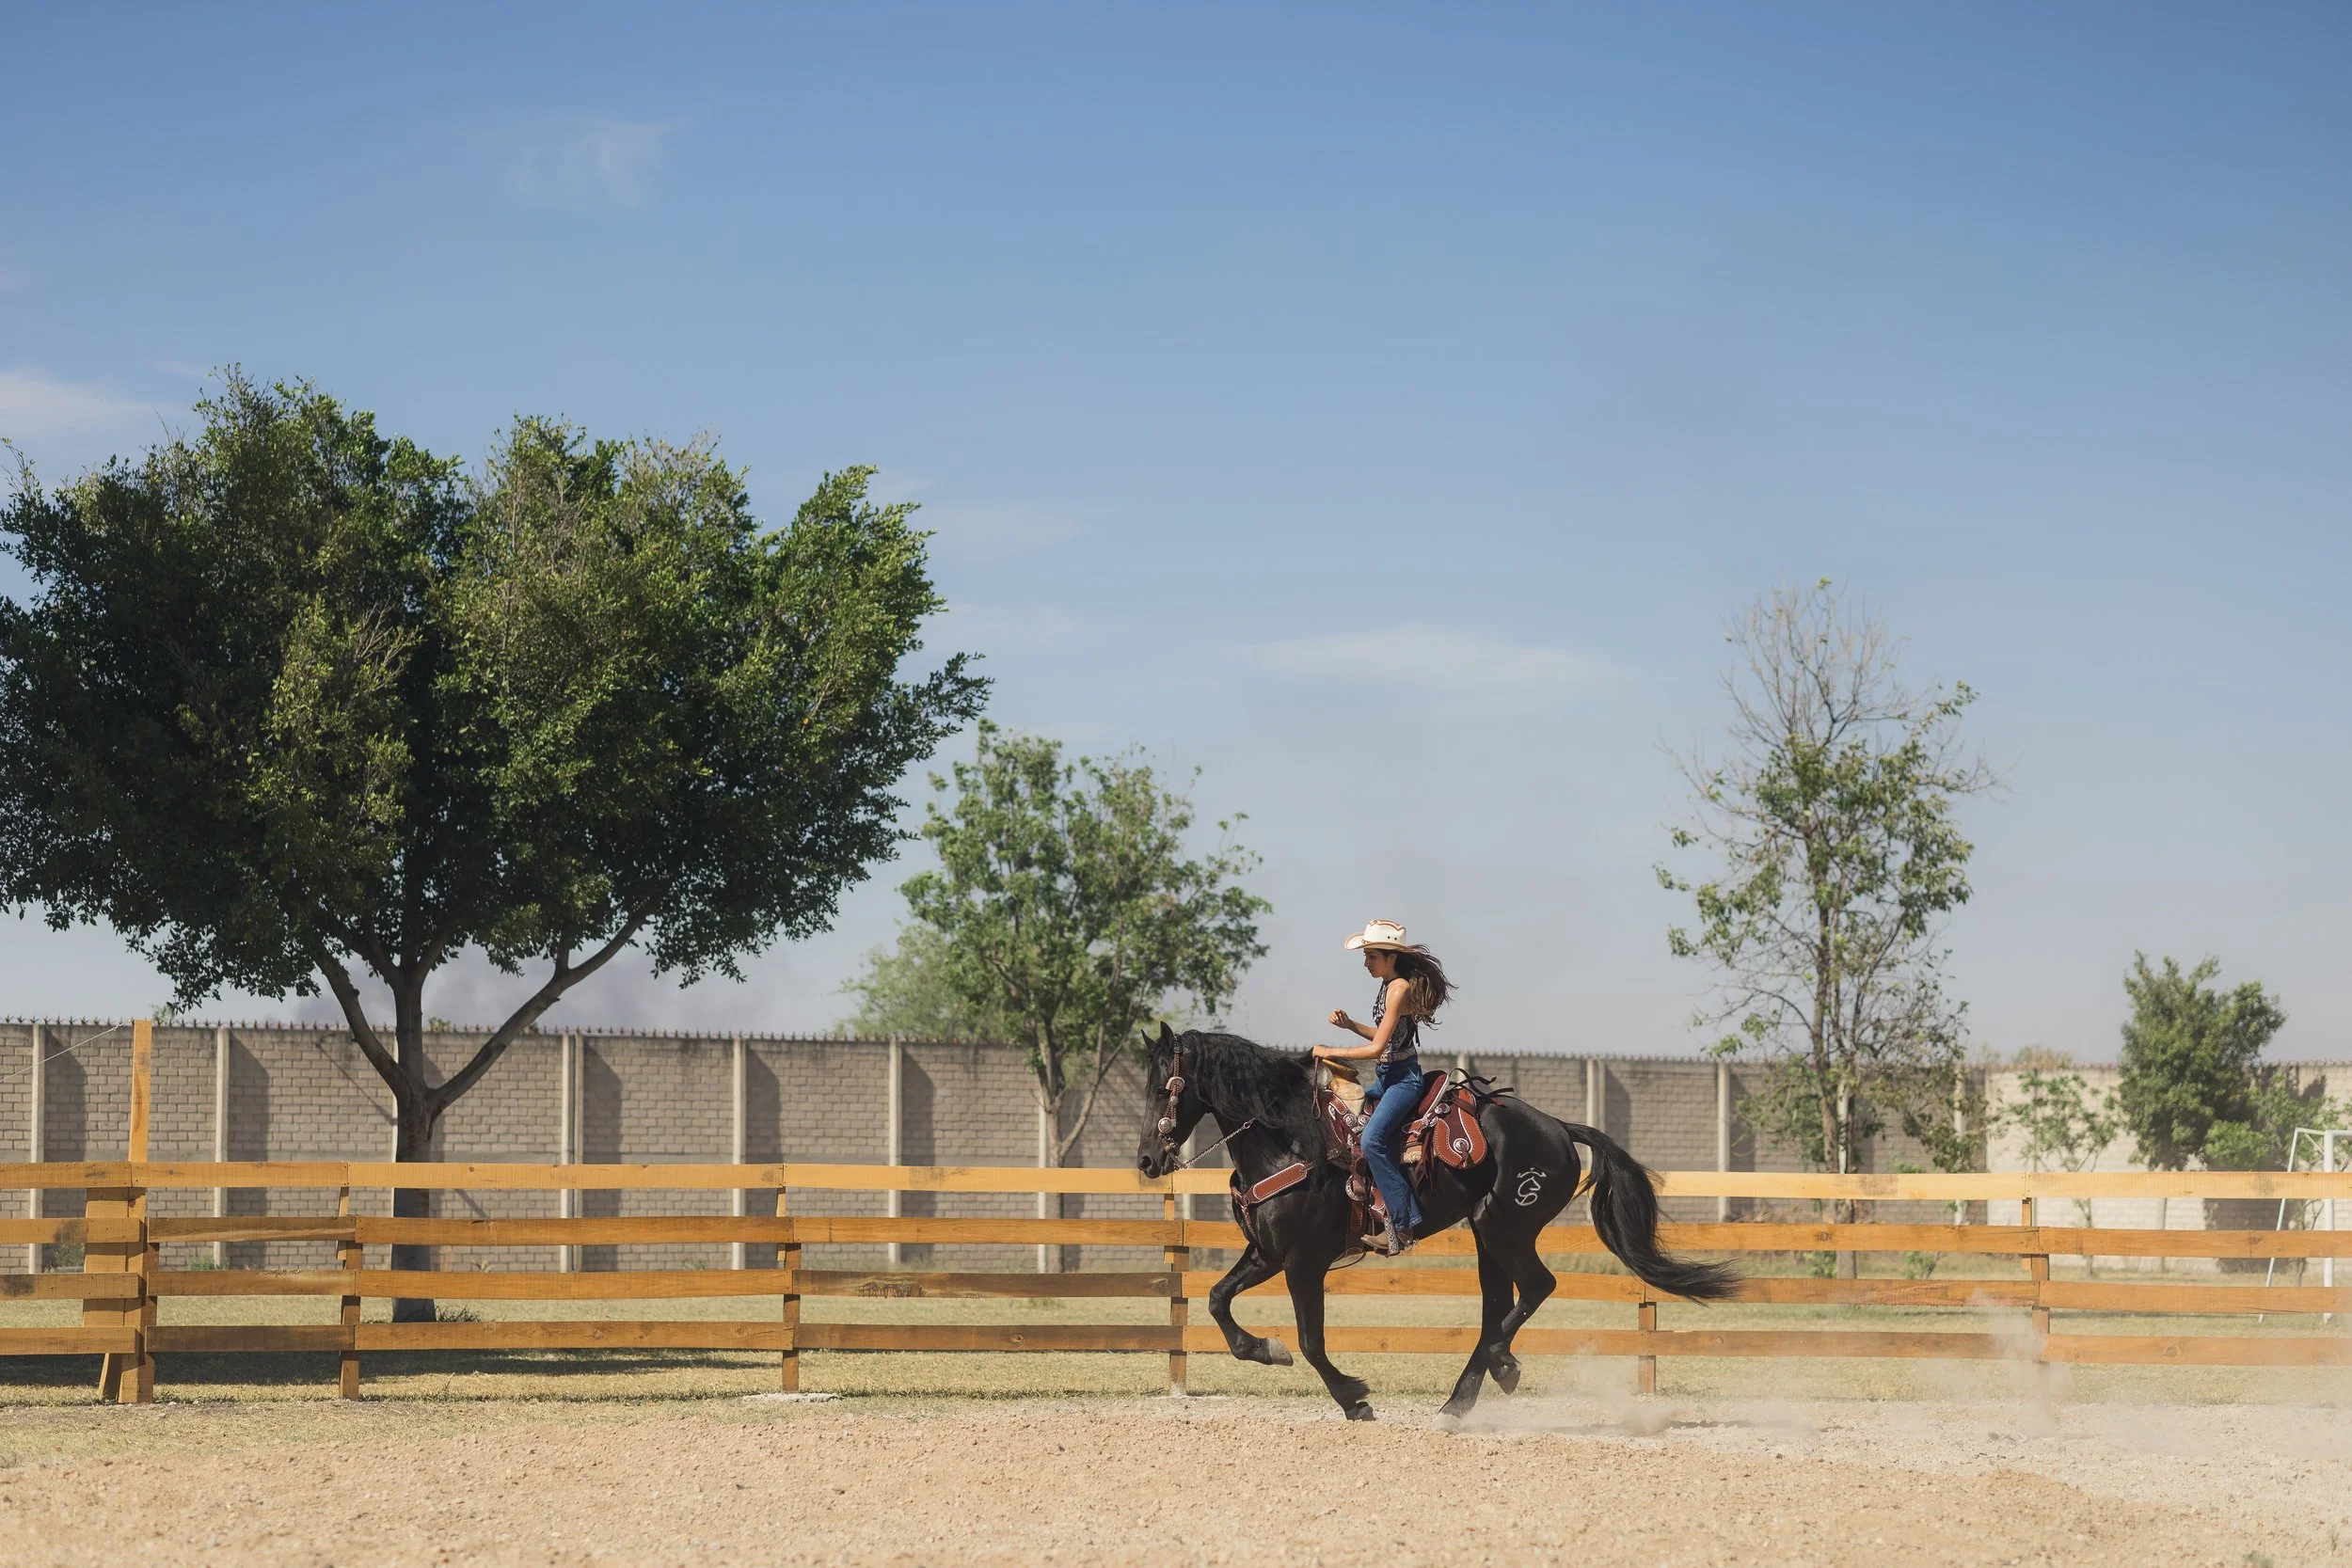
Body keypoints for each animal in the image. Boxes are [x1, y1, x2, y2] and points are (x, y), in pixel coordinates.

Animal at [1134, 1023, 1738, 1421]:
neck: (1289, 1141)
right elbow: (1218, 1300)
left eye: (1166, 1086)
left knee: (1535, 1288)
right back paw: (1461, 1398)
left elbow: (1310, 1340)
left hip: (1503, 1226)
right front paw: (1265, 1350)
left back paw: (1500, 1367)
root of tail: (1560, 1128)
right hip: (1487, 1236)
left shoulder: (1304, 1263)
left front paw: (1354, 1398)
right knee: (1498, 1304)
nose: (1146, 1160)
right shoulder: (1266, 1254)